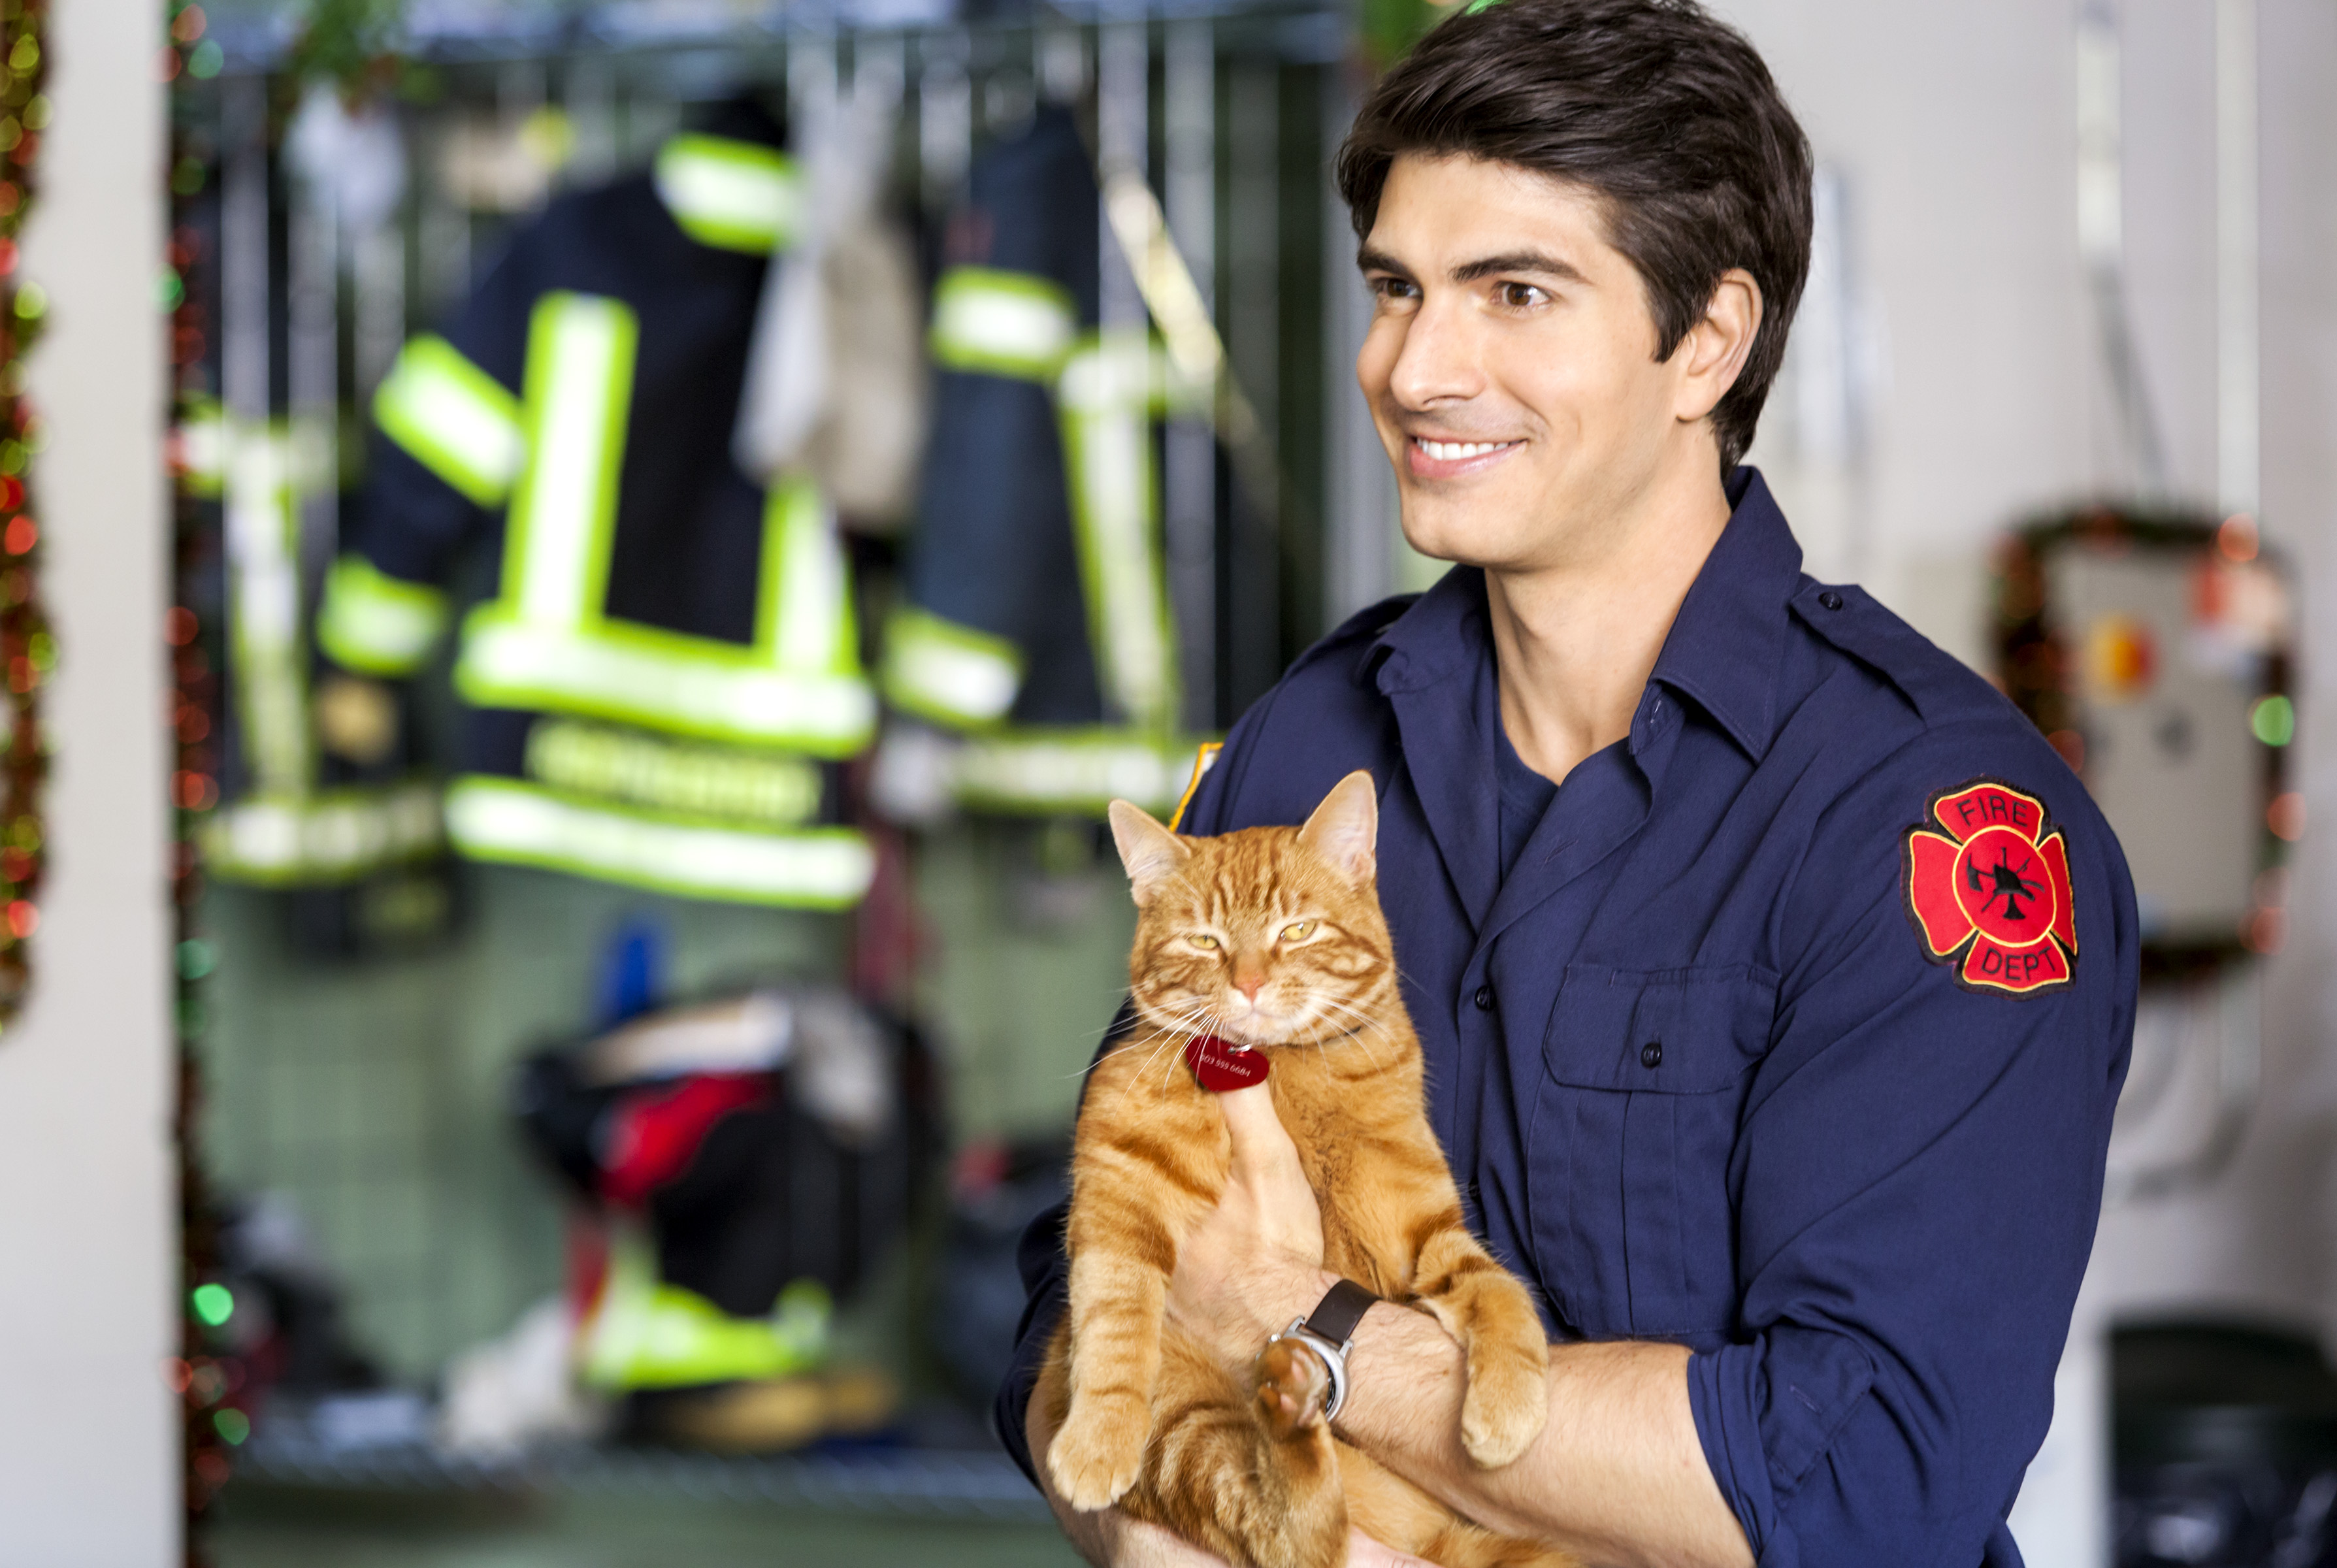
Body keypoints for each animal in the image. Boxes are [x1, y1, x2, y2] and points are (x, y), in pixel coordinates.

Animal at [1038, 771, 1570, 1568]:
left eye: (1296, 931)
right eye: (1205, 941)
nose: (1251, 984)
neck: (1276, 1071)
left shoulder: (1424, 1228)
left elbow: (1497, 1289)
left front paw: (1508, 1405)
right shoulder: (1118, 1192)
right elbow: (1114, 1317)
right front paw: (1098, 1440)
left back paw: (1292, 1402)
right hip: (1181, 1418)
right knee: (1288, 1527)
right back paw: (1288, 1412)